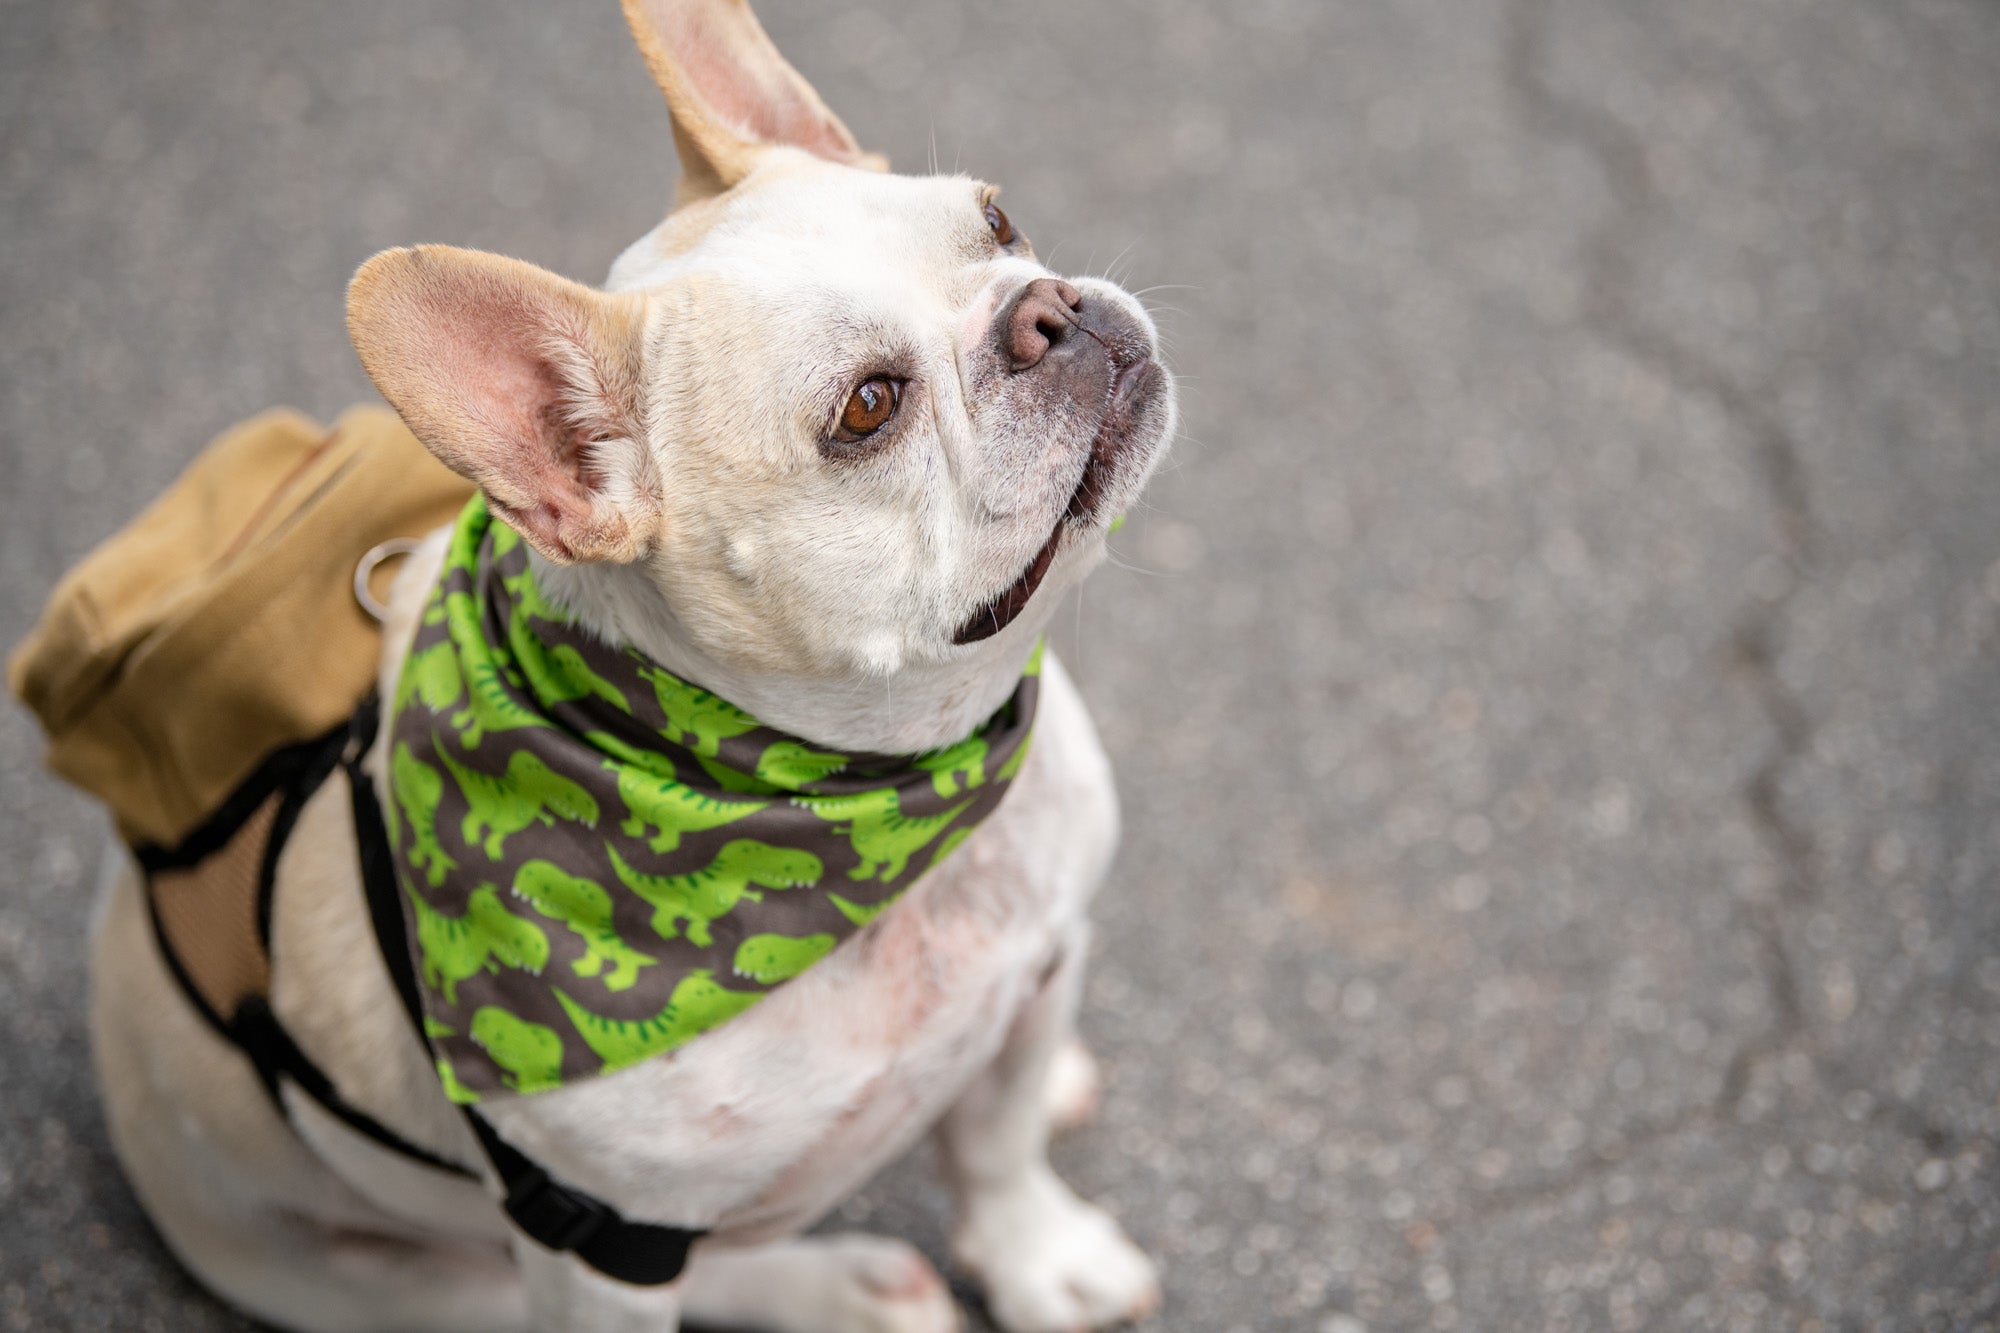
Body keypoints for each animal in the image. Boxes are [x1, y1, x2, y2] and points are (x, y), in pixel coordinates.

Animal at [90, 2, 1168, 1328]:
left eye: (999, 221)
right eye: (868, 407)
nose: (1047, 309)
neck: (877, 793)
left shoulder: (1044, 949)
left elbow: (1001, 1140)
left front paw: (1037, 1253)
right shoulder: (594, 1241)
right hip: (401, 1283)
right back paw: (839, 1286)